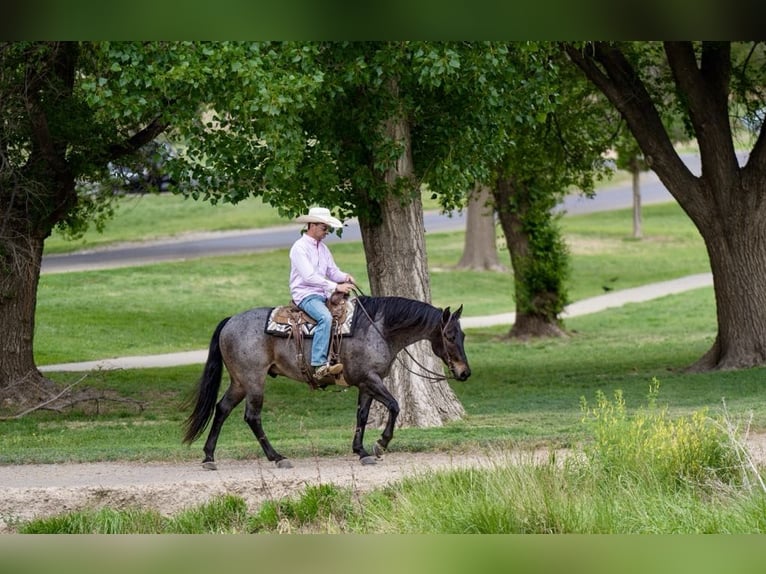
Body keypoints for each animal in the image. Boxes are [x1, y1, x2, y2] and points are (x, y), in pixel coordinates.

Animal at [184, 296, 474, 468]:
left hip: (240, 382)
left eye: (463, 335)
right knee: (252, 417)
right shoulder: (371, 379)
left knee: (222, 409)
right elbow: (394, 406)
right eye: (449, 336)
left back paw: (209, 456)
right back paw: (277, 457)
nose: (464, 373)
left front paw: (361, 451)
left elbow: (362, 415)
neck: (378, 330)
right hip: (254, 381)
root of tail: (229, 321)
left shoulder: (366, 383)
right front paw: (380, 445)